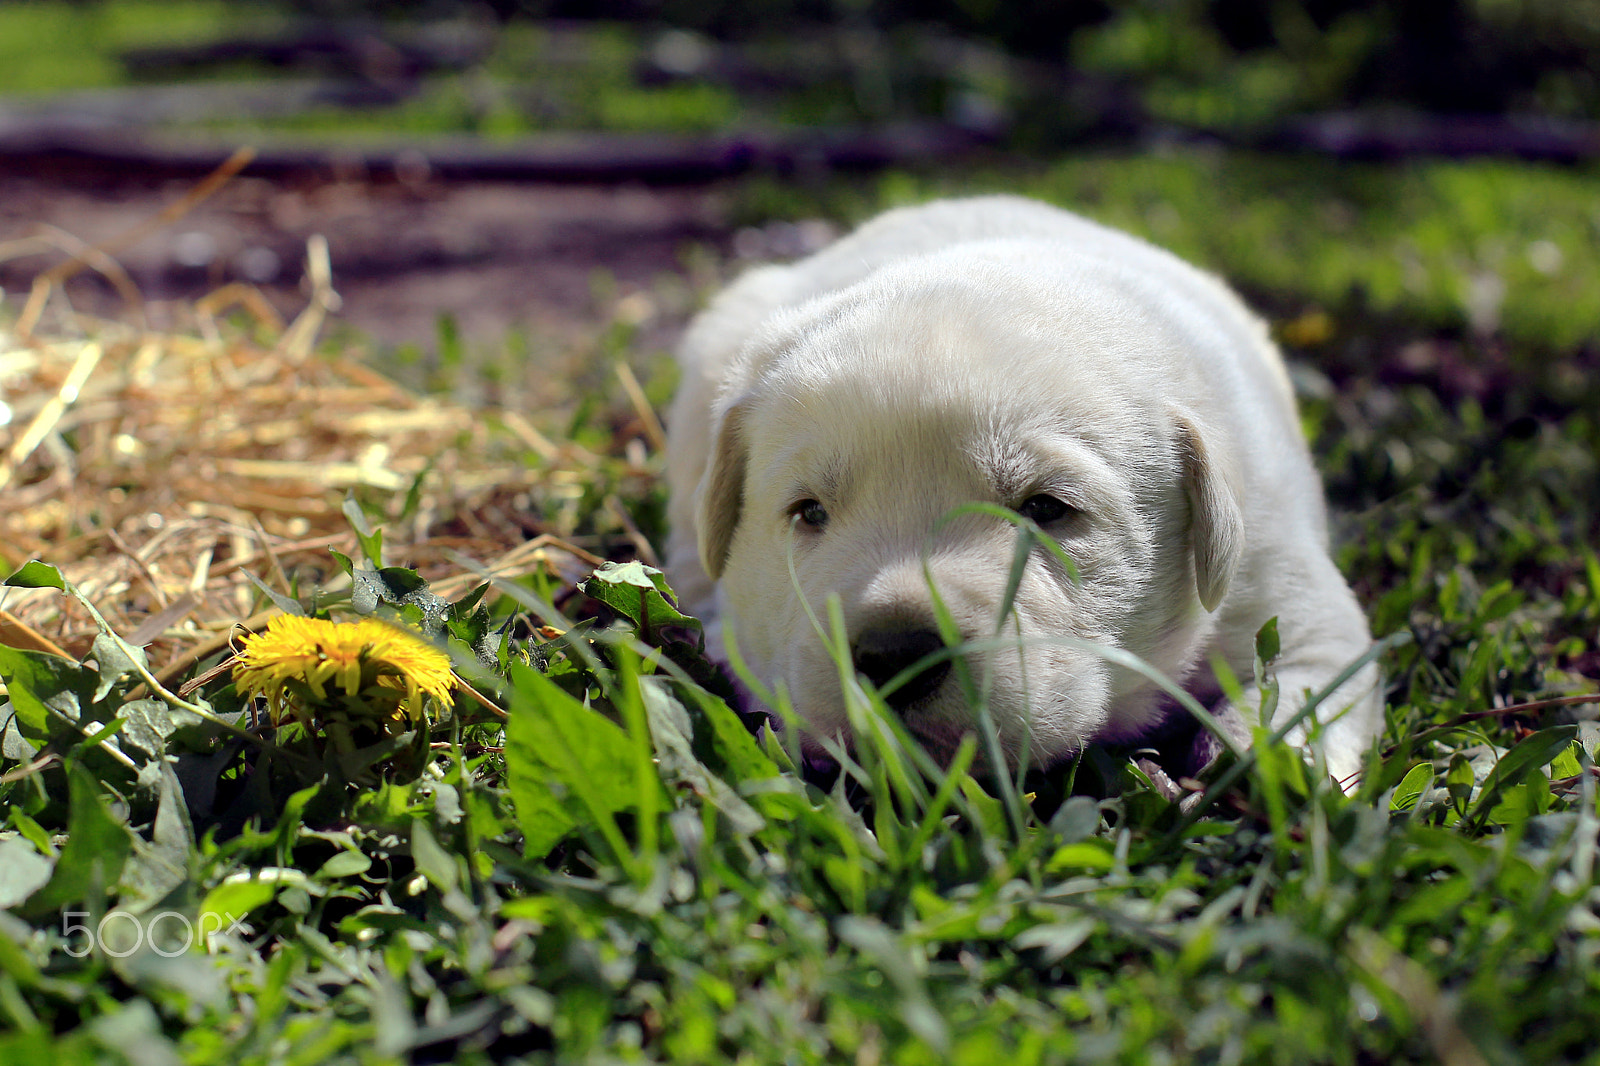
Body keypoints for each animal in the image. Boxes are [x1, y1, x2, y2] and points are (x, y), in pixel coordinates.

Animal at [662, 196, 1376, 781]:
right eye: (809, 512)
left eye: (1046, 510)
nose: (894, 653)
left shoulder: (1276, 579)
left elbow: (1314, 677)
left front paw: (1271, 756)